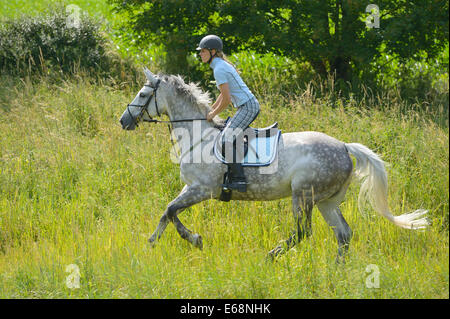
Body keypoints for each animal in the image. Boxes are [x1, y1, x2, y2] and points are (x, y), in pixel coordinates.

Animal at [118, 69, 428, 262]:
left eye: (143, 94)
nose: (124, 120)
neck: (198, 136)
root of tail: (344, 146)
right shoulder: (190, 187)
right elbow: (167, 211)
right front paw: (151, 243)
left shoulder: (204, 189)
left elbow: (172, 211)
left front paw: (194, 239)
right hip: (326, 201)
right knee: (343, 233)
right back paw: (338, 269)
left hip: (302, 195)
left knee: (304, 232)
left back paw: (271, 256)